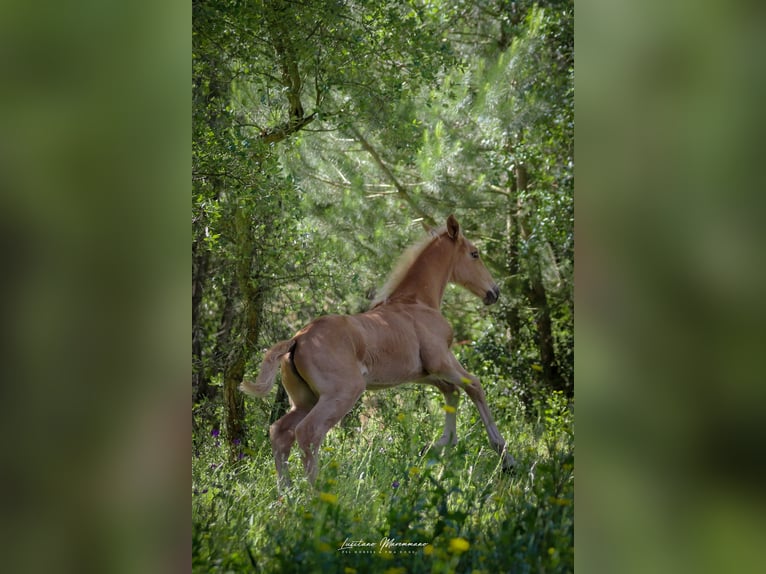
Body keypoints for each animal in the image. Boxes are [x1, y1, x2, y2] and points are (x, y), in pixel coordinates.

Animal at [240, 216, 516, 490]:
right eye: (474, 253)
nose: (494, 292)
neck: (418, 303)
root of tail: (297, 339)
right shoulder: (441, 361)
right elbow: (474, 386)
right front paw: (504, 456)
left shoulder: (421, 373)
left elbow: (452, 391)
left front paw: (439, 445)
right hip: (341, 394)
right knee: (308, 433)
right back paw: (315, 493)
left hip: (305, 400)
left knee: (280, 432)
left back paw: (286, 492)